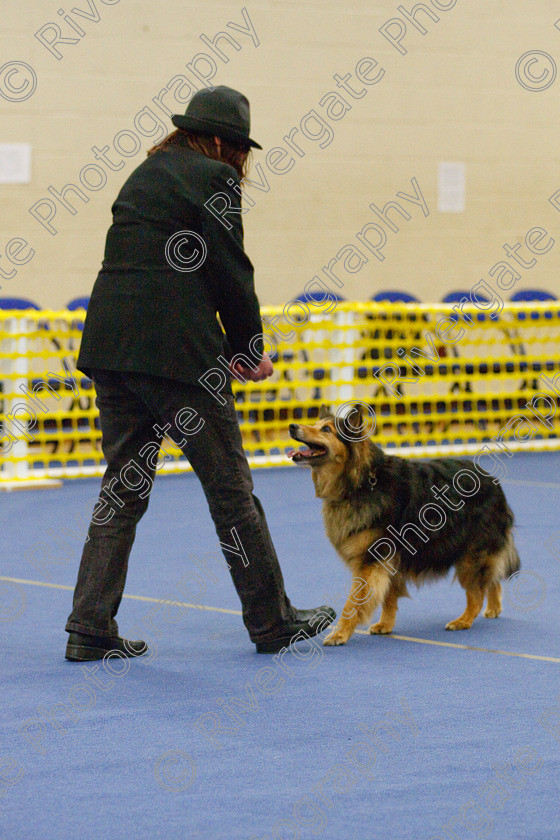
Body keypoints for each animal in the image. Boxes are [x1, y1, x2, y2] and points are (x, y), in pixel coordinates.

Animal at [288, 406, 520, 644]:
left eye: (326, 429)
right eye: (315, 424)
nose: (292, 426)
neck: (361, 482)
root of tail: (492, 481)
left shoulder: (370, 562)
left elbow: (353, 603)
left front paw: (341, 633)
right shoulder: (387, 562)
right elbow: (388, 597)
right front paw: (385, 625)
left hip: (470, 556)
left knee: (476, 593)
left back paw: (463, 620)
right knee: (491, 579)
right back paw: (493, 608)